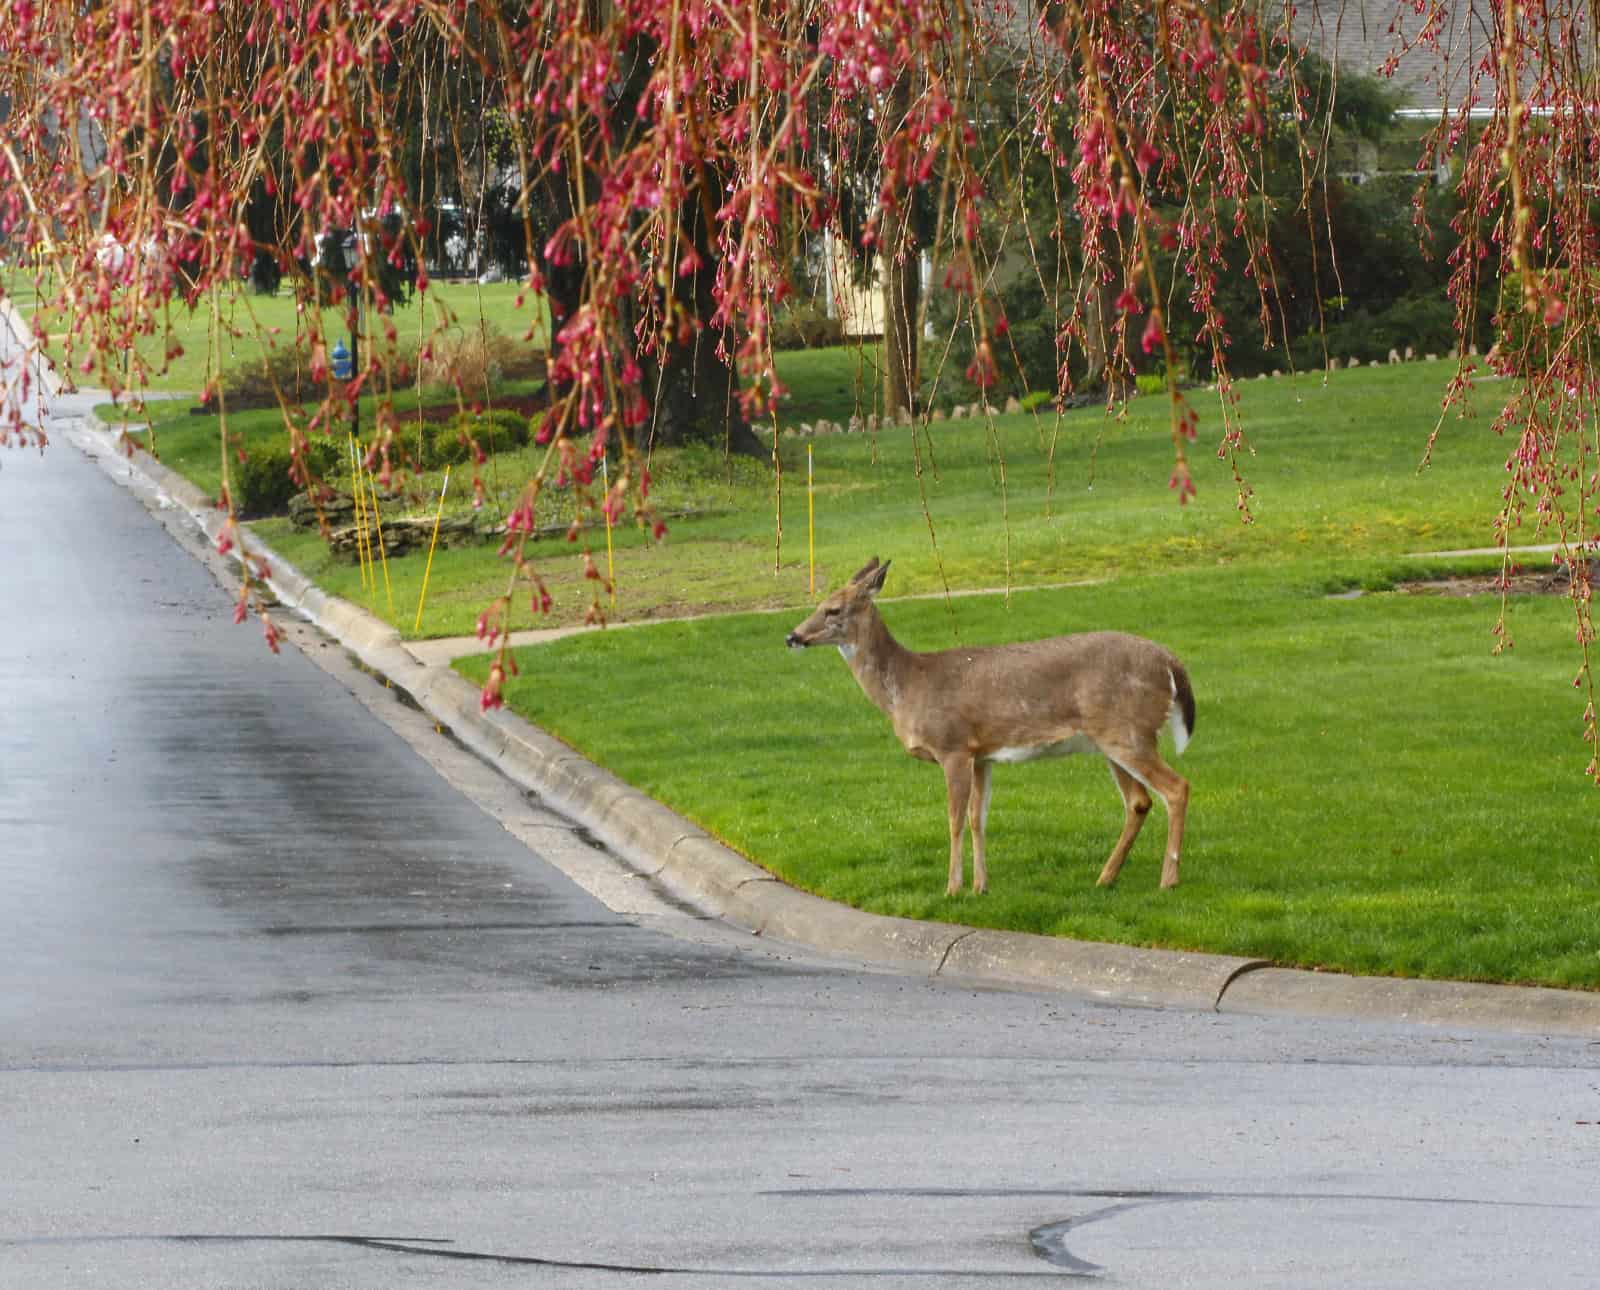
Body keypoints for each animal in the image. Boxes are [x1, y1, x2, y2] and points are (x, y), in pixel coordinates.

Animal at [785, 558, 1195, 894]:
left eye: (833, 609)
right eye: (817, 604)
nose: (792, 636)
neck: (910, 684)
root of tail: (1171, 663)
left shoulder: (953, 746)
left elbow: (954, 820)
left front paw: (952, 889)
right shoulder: (981, 755)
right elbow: (977, 818)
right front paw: (980, 886)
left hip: (1129, 732)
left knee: (1177, 787)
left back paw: (1168, 879)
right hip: (1110, 740)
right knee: (1139, 802)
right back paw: (1105, 877)